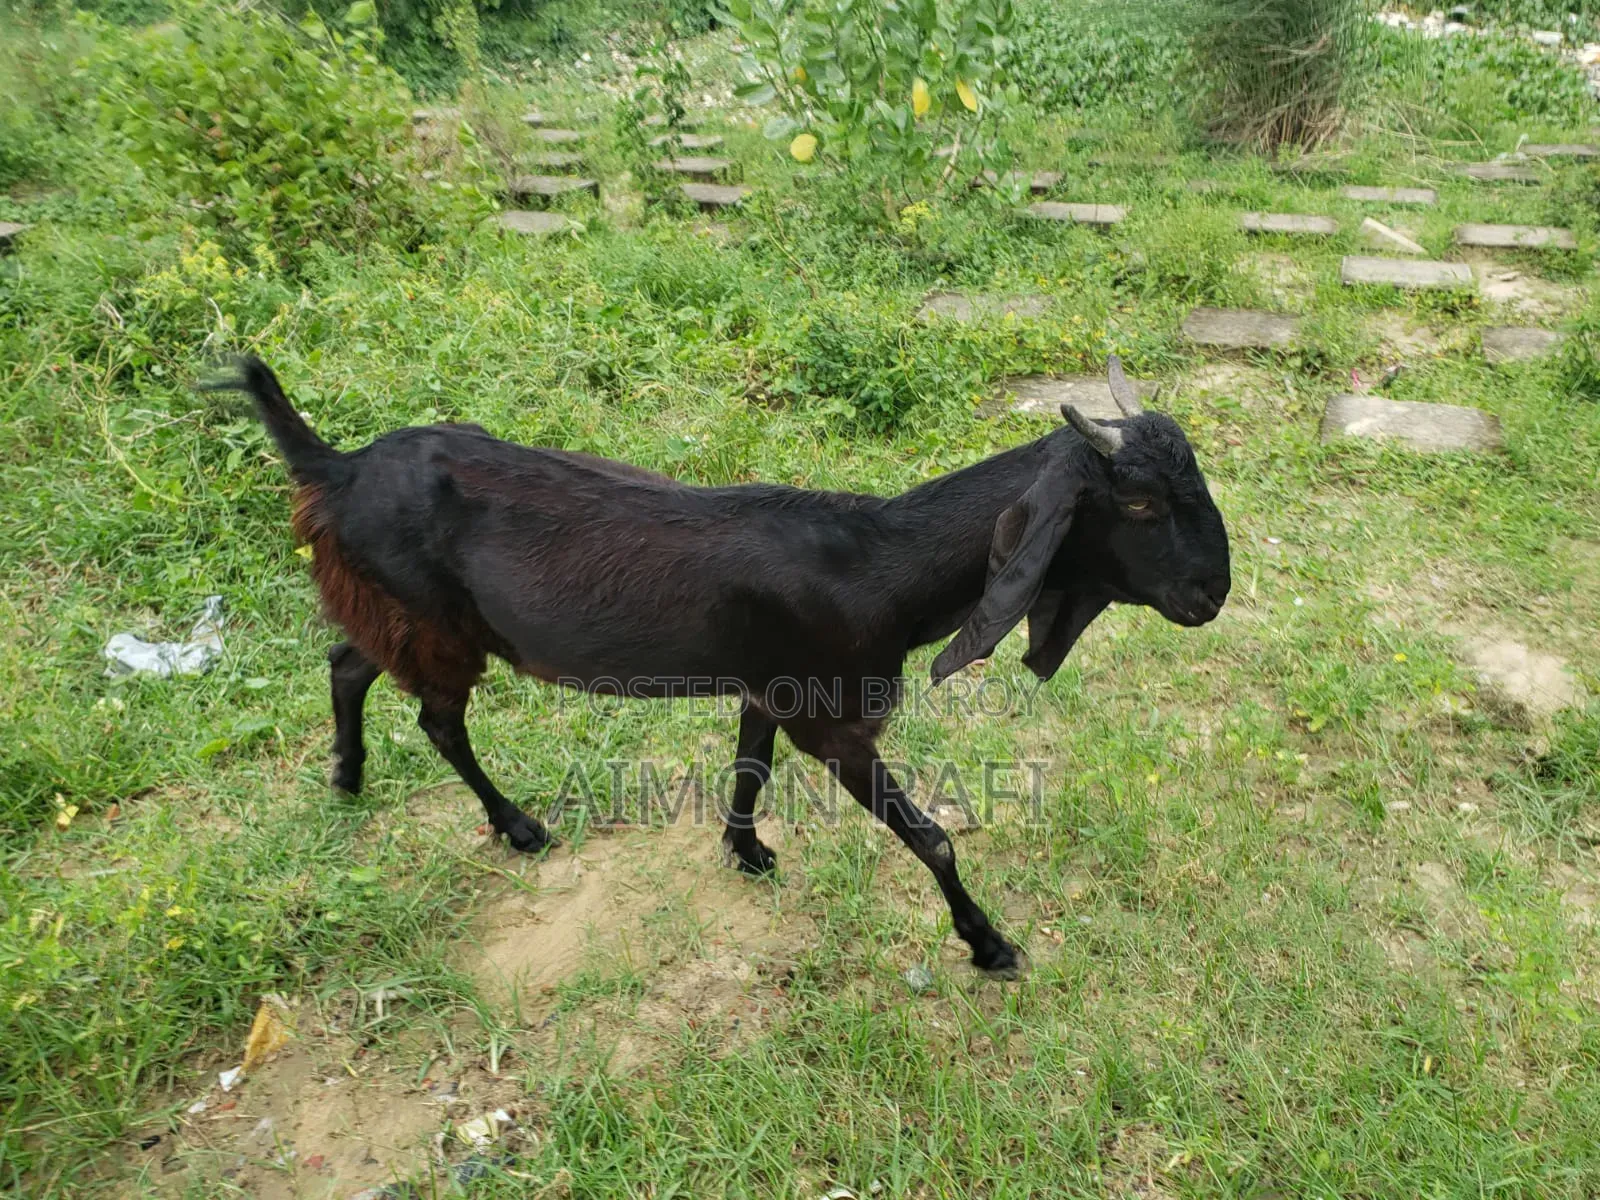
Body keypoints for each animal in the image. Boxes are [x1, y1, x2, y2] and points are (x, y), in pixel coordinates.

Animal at [210, 355, 1230, 975]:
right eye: (1139, 505)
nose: (1212, 592)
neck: (875, 561)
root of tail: (337, 469)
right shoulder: (832, 716)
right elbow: (930, 837)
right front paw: (989, 945)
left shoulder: (768, 684)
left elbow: (749, 766)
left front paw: (745, 851)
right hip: (435, 621)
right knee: (435, 715)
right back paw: (516, 825)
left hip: (410, 613)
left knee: (349, 661)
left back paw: (348, 777)